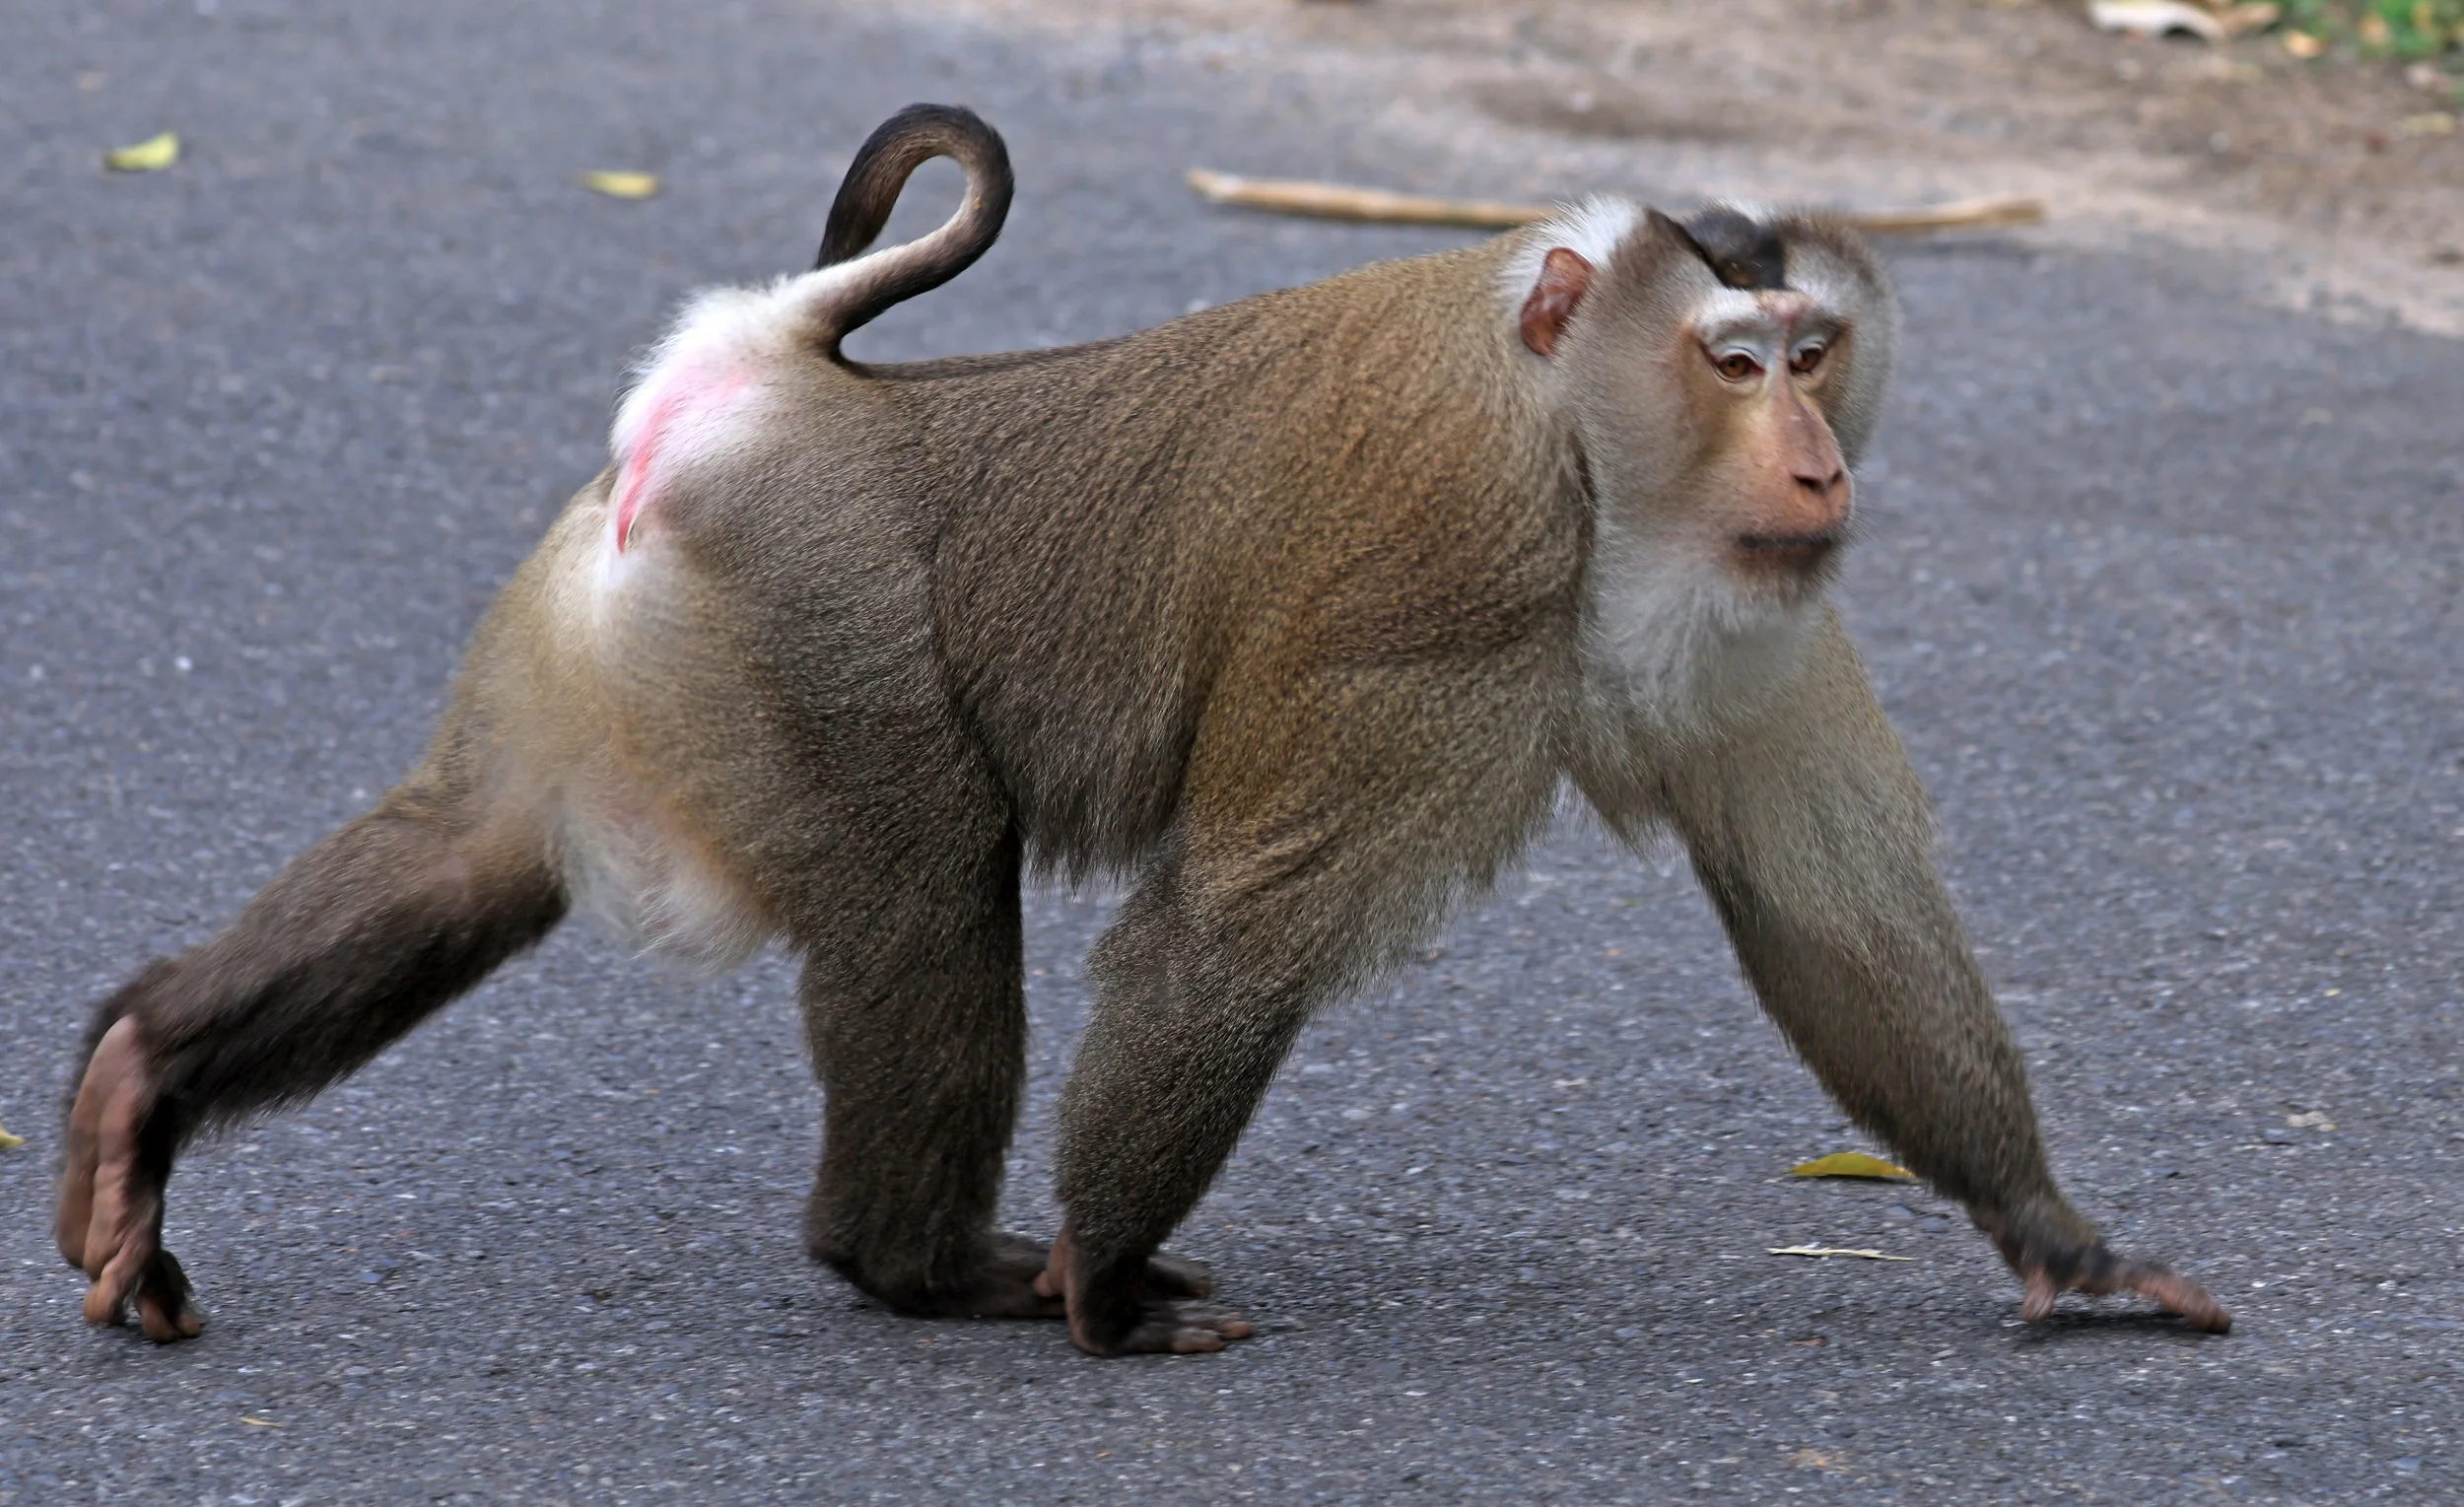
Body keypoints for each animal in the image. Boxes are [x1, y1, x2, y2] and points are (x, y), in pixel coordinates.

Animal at [58, 103, 2231, 1355]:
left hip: (632, 627)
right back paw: (915, 1258)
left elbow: (1827, 906)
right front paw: (1102, 1279)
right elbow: (1235, 923)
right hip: (809, 616)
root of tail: (779, 371)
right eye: (1728, 359)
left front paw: (2054, 1234)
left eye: (1811, 351)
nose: (1809, 456)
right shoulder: (1441, 574)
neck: (1576, 436)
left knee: (473, 843)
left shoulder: (1758, 601)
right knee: (926, 897)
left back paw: (145, 1080)